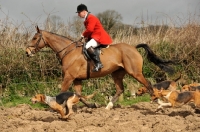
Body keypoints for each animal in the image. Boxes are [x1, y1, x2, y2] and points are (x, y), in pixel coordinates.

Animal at [26, 26, 173, 110]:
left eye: (34, 38)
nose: (27, 52)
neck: (68, 51)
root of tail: (133, 48)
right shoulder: (77, 79)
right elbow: (79, 95)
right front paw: (92, 105)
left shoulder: (69, 77)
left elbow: (62, 92)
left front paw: (54, 107)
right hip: (117, 73)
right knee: (120, 89)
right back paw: (108, 107)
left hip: (135, 72)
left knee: (148, 84)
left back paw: (158, 102)